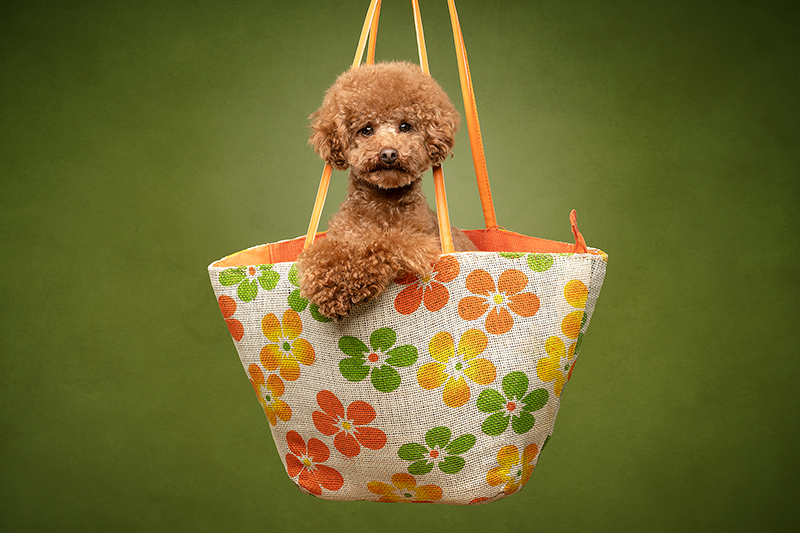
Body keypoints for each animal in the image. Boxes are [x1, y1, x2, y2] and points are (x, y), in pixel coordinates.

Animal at [296, 60, 478, 318]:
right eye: (366, 129)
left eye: (405, 126)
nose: (389, 153)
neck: (382, 206)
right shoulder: (341, 236)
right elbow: (325, 252)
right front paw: (331, 283)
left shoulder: (415, 243)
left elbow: (382, 245)